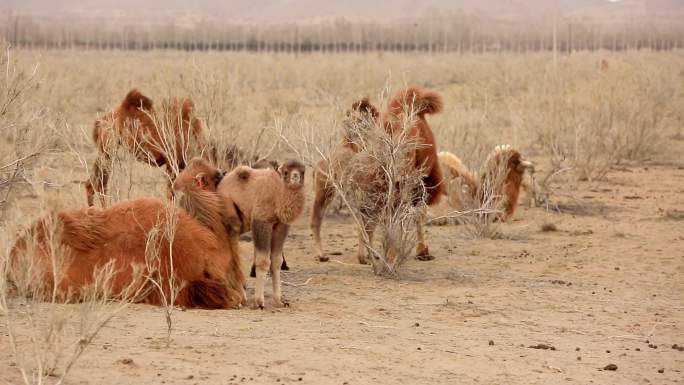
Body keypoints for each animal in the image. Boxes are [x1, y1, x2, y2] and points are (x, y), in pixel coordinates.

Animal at [218, 158, 306, 308]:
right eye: (286, 172)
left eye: (302, 171)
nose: (295, 177)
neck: (277, 196)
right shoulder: (261, 221)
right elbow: (263, 260)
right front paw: (259, 302)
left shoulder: (281, 225)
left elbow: (276, 261)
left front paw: (280, 301)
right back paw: (239, 298)